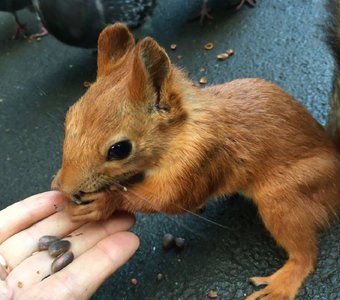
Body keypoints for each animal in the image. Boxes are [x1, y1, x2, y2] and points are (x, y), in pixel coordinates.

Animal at [51, 19, 340, 300]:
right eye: (68, 117)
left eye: (120, 149)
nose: (65, 187)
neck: (183, 131)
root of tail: (334, 153)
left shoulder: (200, 160)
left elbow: (167, 199)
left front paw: (105, 202)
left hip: (285, 196)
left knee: (305, 254)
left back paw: (283, 282)